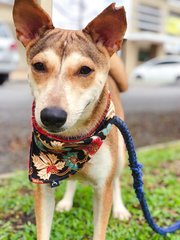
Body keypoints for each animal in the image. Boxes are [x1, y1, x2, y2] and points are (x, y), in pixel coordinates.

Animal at [13, 0, 131, 239]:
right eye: (39, 66)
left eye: (85, 70)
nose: (52, 116)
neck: (72, 142)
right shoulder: (43, 187)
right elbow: (43, 230)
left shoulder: (102, 188)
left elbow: (100, 227)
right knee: (72, 181)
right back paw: (67, 201)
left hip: (121, 154)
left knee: (116, 180)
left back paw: (120, 209)